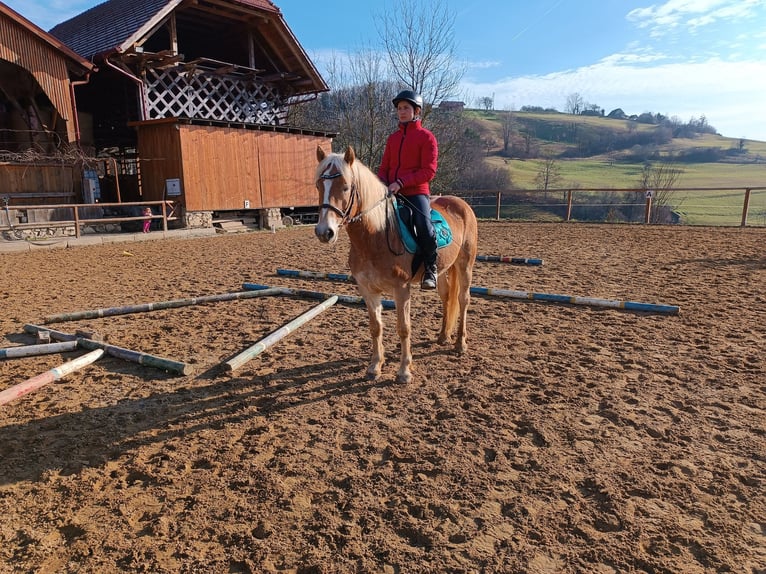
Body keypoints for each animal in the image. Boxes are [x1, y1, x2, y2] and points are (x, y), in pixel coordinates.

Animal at [316, 146, 476, 384]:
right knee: (447, 298)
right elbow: (375, 327)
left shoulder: (401, 288)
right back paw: (443, 336)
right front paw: (374, 367)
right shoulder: (367, 289)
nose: (324, 232)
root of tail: (460, 203)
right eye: (318, 185)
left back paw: (460, 344)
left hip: (465, 265)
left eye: (345, 187)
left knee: (463, 300)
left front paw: (404, 371)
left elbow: (403, 328)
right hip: (443, 271)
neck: (377, 234)